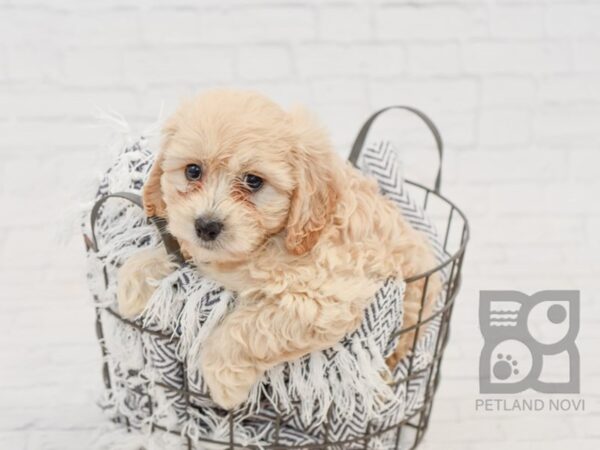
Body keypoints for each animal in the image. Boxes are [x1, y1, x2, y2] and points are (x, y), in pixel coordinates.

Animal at [117, 90, 440, 412]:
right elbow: (176, 255)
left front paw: (223, 381)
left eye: (253, 181)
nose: (206, 226)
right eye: (193, 171)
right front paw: (132, 283)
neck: (264, 244)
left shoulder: (324, 298)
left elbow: (250, 326)